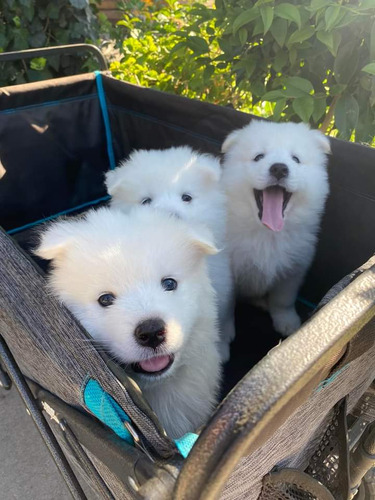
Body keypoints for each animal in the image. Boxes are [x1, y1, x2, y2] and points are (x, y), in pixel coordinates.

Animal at [105, 146, 235, 362]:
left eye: (186, 197)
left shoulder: (221, 286)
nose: (169, 217)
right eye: (146, 201)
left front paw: (222, 346)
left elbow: (220, 316)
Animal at [222, 119, 330, 336]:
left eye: (295, 159)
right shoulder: (226, 274)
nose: (279, 168)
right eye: (259, 157)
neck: (267, 234)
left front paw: (288, 323)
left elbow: (283, 300)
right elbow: (227, 308)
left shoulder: (293, 269)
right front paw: (224, 337)